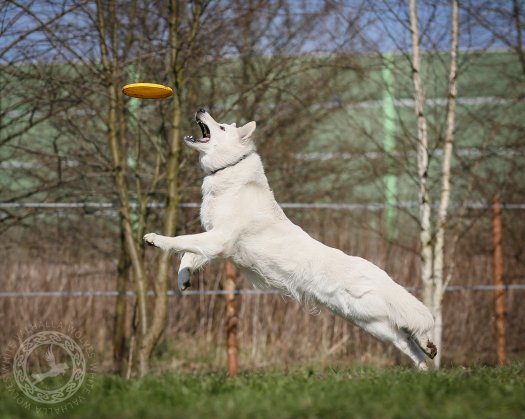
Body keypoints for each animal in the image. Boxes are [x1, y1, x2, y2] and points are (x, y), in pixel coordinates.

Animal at [142, 109, 434, 370]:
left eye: (221, 126)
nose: (201, 108)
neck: (229, 170)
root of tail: (377, 272)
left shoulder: (219, 239)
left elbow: (181, 240)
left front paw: (155, 239)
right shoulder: (217, 243)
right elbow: (188, 254)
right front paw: (183, 279)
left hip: (370, 313)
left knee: (410, 325)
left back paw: (427, 346)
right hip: (370, 322)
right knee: (404, 339)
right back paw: (425, 362)